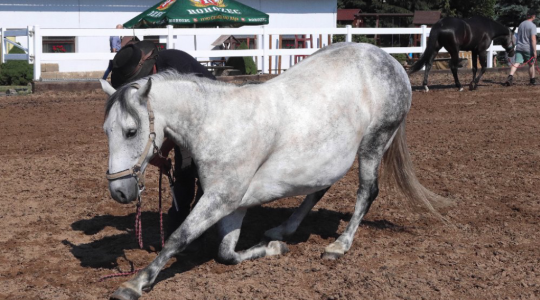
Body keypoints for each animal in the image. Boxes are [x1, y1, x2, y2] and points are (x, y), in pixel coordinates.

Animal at [101, 42, 448, 300]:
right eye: (106, 131)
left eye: (131, 131)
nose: (119, 191)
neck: (217, 124)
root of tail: (390, 61)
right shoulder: (233, 205)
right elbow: (226, 253)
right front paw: (273, 248)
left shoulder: (222, 199)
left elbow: (178, 237)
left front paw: (135, 283)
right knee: (319, 189)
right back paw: (283, 230)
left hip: (374, 143)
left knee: (367, 192)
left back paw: (339, 246)